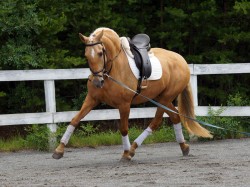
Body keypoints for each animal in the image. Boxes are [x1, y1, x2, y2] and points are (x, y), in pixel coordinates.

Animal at [52, 27, 213, 160]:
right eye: (86, 55)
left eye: (100, 53)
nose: (97, 82)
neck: (111, 70)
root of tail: (182, 60)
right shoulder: (92, 99)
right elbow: (75, 120)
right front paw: (59, 150)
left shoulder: (124, 105)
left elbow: (123, 128)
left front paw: (125, 153)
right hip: (161, 99)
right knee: (174, 117)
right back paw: (183, 147)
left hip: (165, 99)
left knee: (156, 121)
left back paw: (133, 149)